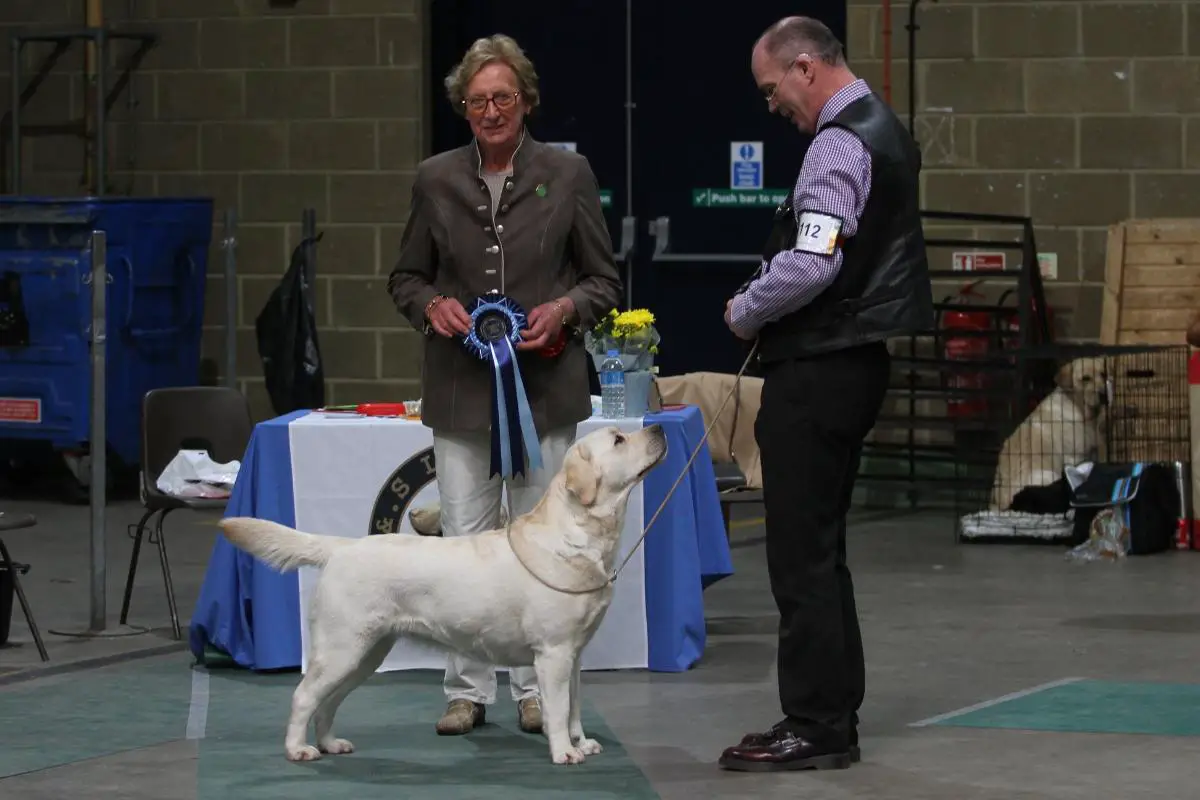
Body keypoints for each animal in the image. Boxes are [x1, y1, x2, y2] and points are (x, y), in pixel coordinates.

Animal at [216, 424, 667, 767]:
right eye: (619, 440)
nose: (659, 428)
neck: (578, 537)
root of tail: (342, 547)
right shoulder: (554, 653)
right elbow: (556, 710)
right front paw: (564, 752)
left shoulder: (574, 655)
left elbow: (573, 705)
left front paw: (581, 742)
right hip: (341, 647)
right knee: (303, 696)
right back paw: (298, 749)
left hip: (366, 653)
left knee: (327, 701)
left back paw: (330, 744)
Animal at [988, 357, 1108, 513]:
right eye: (1085, 378)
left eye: (1103, 374)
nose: (1104, 394)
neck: (1077, 407)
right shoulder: (1073, 457)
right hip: (1047, 475)